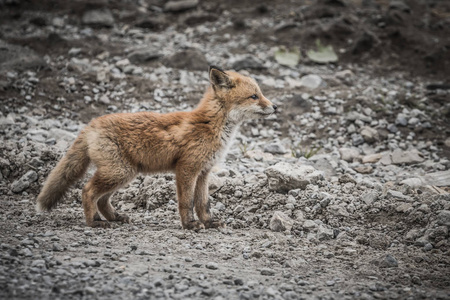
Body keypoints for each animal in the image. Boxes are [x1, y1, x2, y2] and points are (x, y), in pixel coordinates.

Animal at [37, 65, 276, 230]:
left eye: (261, 93)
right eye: (254, 96)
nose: (275, 107)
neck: (211, 125)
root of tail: (91, 124)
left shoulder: (204, 172)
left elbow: (203, 204)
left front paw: (209, 223)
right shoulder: (187, 169)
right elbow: (187, 202)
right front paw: (189, 225)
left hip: (123, 174)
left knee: (102, 199)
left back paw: (114, 217)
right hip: (119, 172)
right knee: (87, 191)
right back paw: (94, 221)